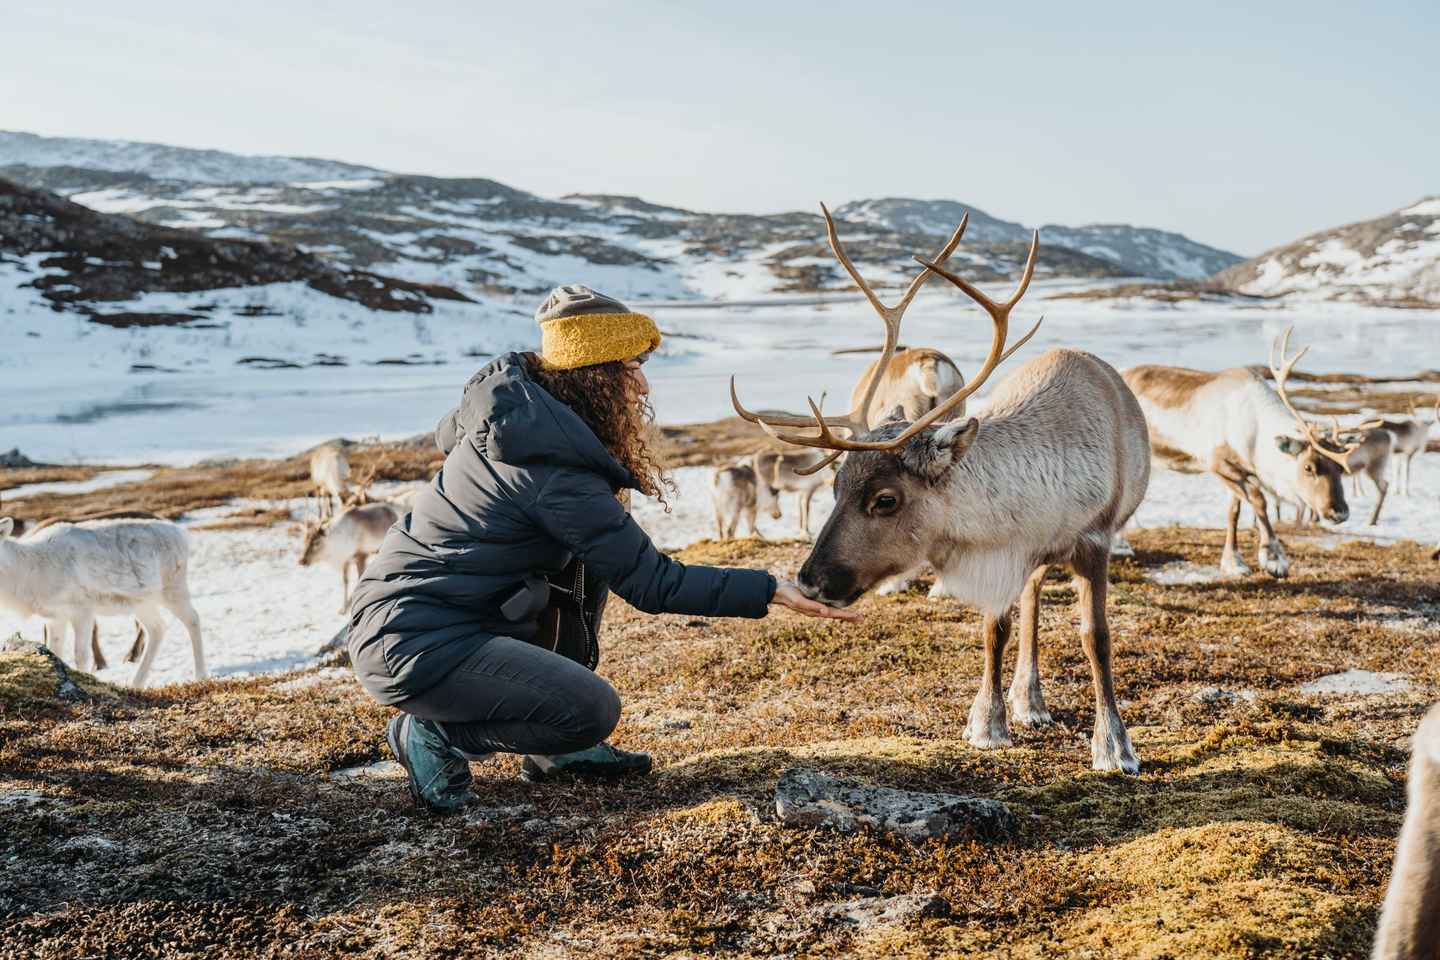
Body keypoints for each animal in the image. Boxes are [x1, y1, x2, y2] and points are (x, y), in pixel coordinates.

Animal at [0, 516, 205, 688]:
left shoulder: (82, 609)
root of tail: (183, 535)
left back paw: (200, 676)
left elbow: (81, 655)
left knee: (193, 619)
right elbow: (54, 651)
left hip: (173, 588)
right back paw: (135, 684)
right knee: (157, 628)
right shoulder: (54, 616)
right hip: (142, 602)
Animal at [731, 203, 1149, 773]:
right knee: (1033, 601)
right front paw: (988, 722)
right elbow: (996, 629)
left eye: (885, 499)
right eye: (835, 484)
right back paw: (1028, 698)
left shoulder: (1095, 540)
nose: (810, 581)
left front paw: (1114, 745)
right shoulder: (1006, 549)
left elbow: (1096, 637)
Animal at [1121, 329, 1364, 578]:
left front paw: (1232, 562)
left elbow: (1233, 512)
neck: (1256, 432)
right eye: (1308, 467)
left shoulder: (1240, 470)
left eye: (1340, 468)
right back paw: (1122, 546)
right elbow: (1259, 499)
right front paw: (1273, 558)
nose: (1339, 513)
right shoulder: (1218, 463)